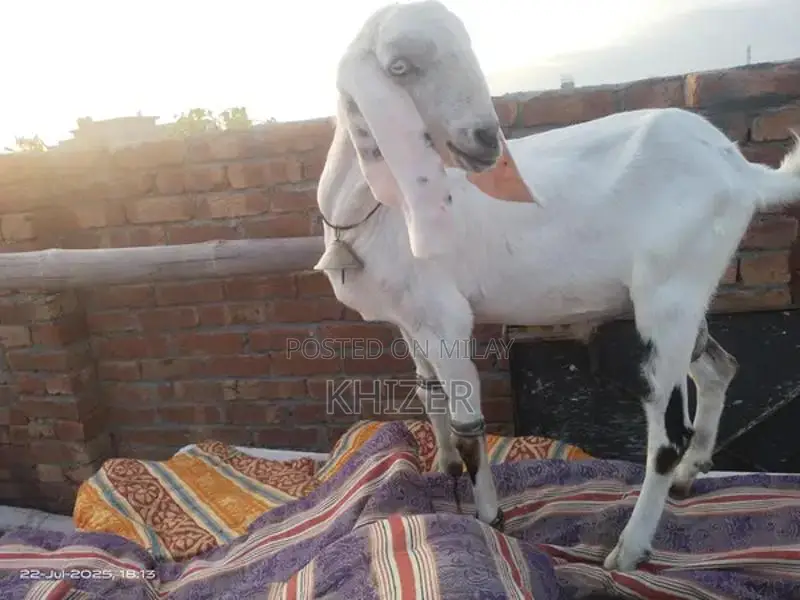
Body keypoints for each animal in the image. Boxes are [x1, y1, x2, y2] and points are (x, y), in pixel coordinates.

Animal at [315, 0, 800, 572]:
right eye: (399, 68)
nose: (485, 141)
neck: (374, 210)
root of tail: (742, 171)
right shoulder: (410, 322)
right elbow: (430, 399)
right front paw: (443, 474)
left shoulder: (446, 319)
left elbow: (470, 426)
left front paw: (490, 520)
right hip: (687, 291)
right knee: (719, 369)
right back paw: (688, 476)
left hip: (667, 296)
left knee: (667, 435)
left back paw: (628, 550)